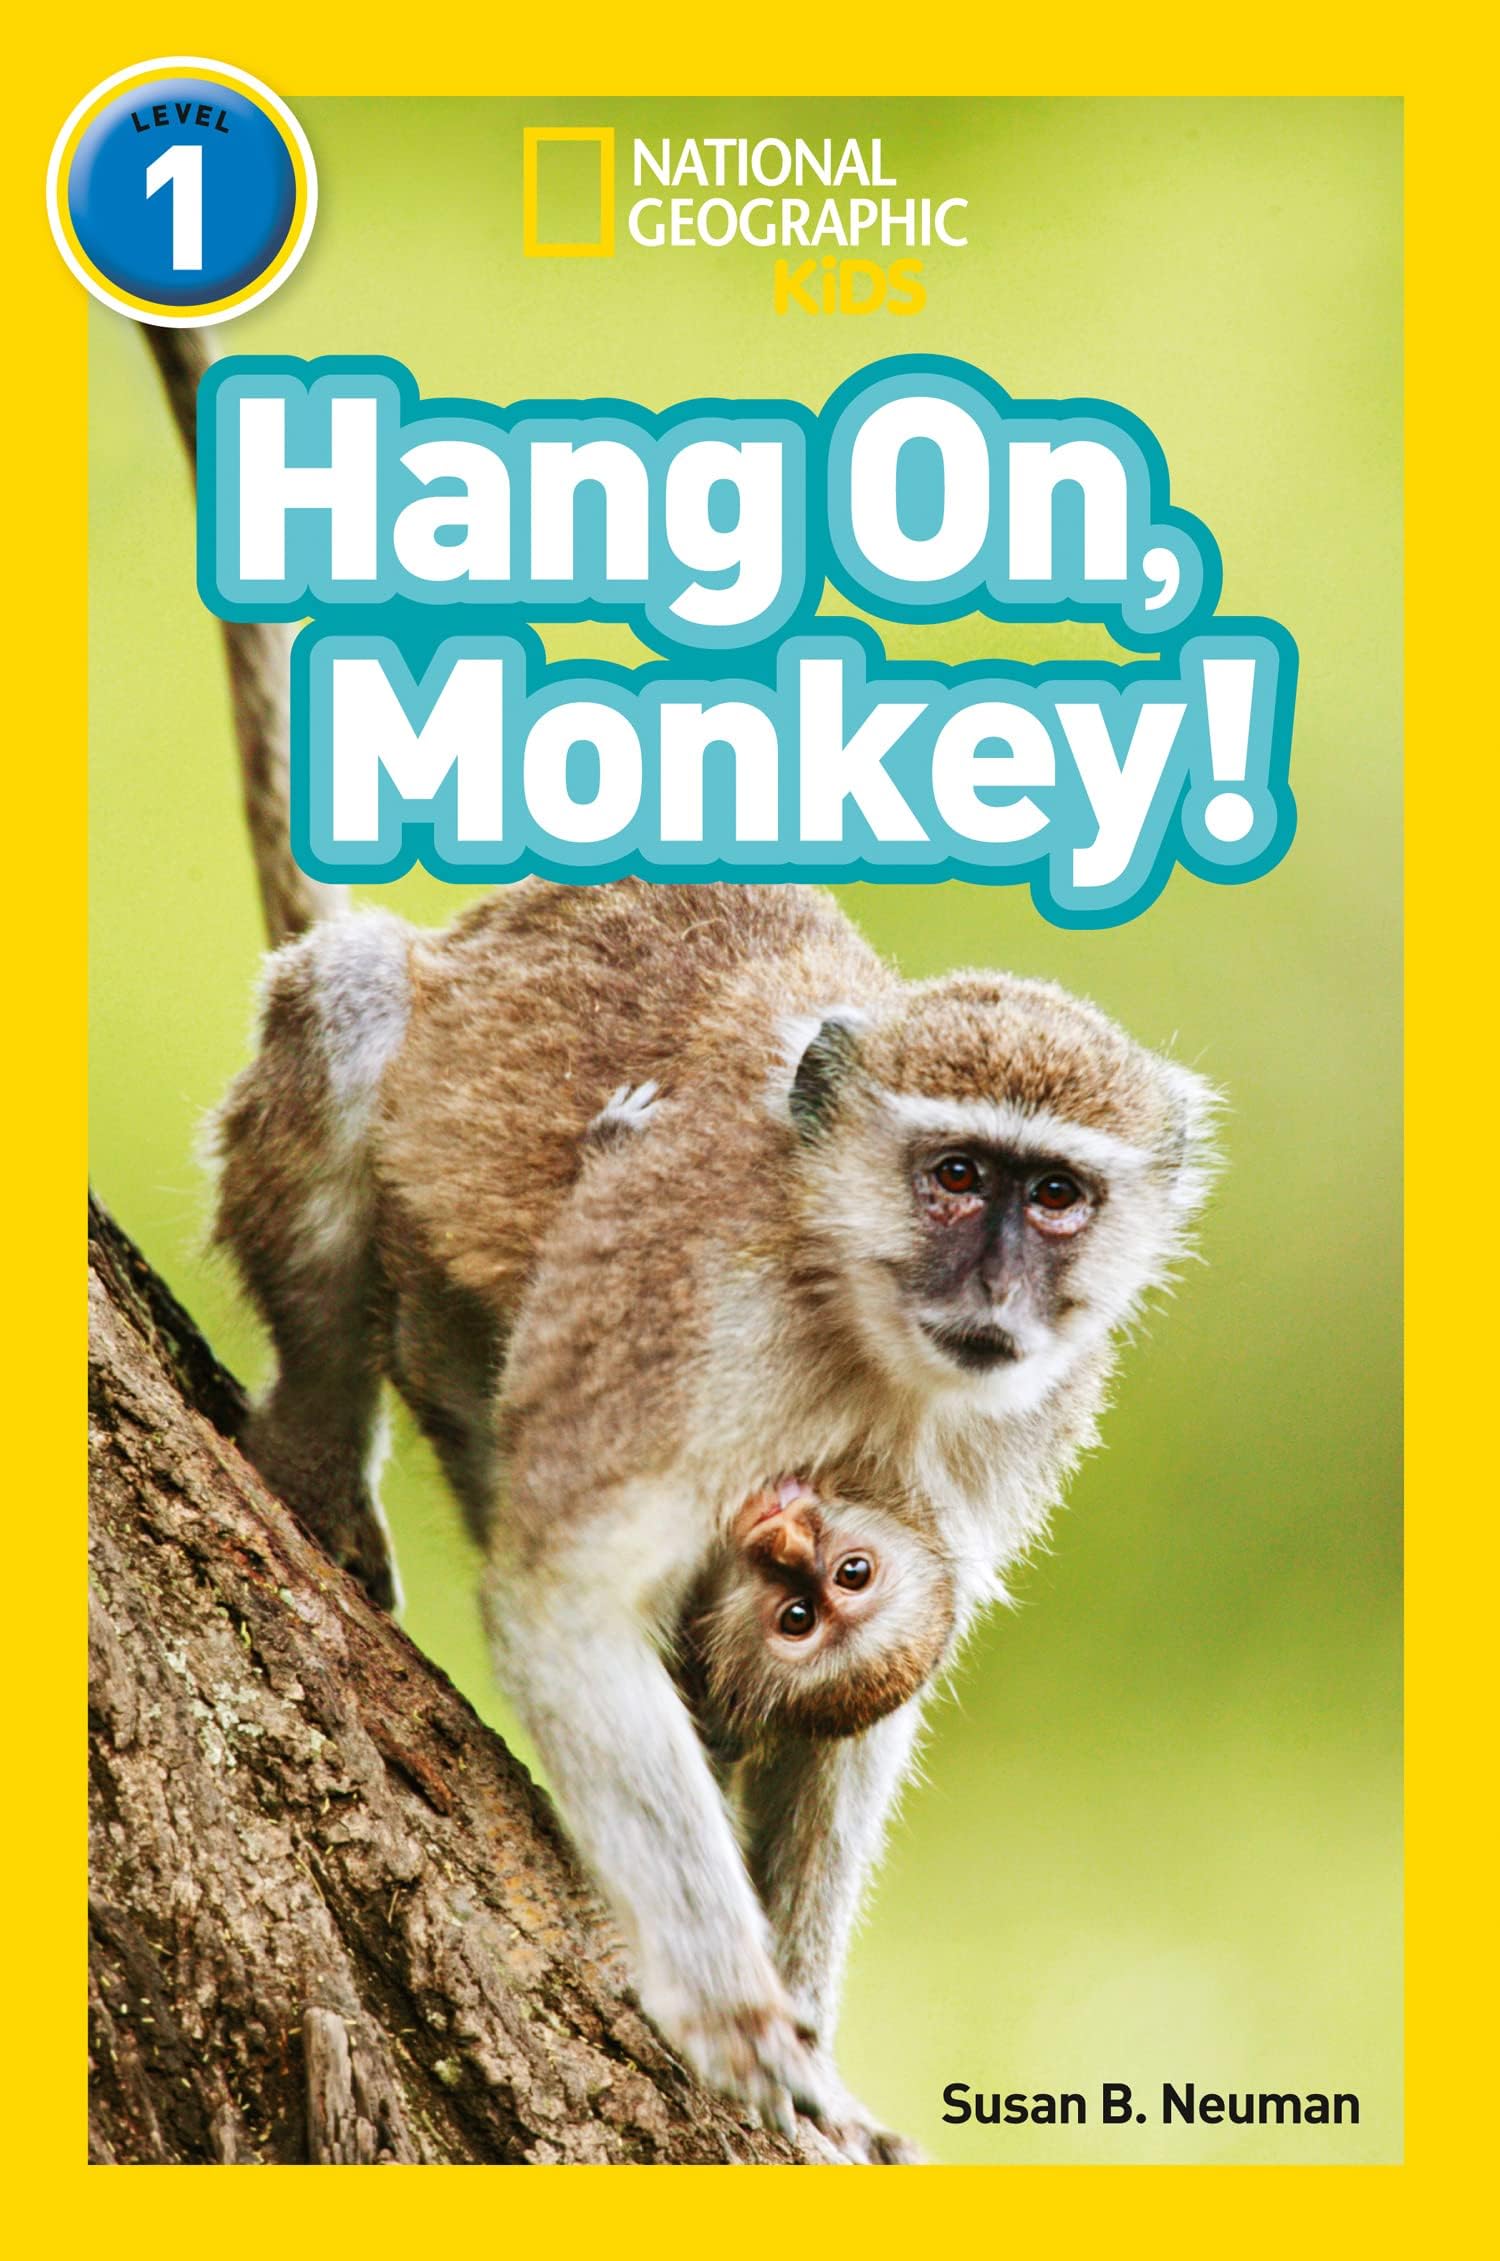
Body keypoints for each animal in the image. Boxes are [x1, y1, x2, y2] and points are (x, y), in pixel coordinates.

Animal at [150, 326, 1220, 2161]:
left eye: (1059, 1196)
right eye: (959, 1175)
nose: (996, 1287)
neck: (860, 1320)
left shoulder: (1018, 1423)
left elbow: (873, 1702)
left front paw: (817, 2054)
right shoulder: (684, 1307)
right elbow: (575, 1592)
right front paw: (736, 2012)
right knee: (352, 1002)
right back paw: (316, 1445)